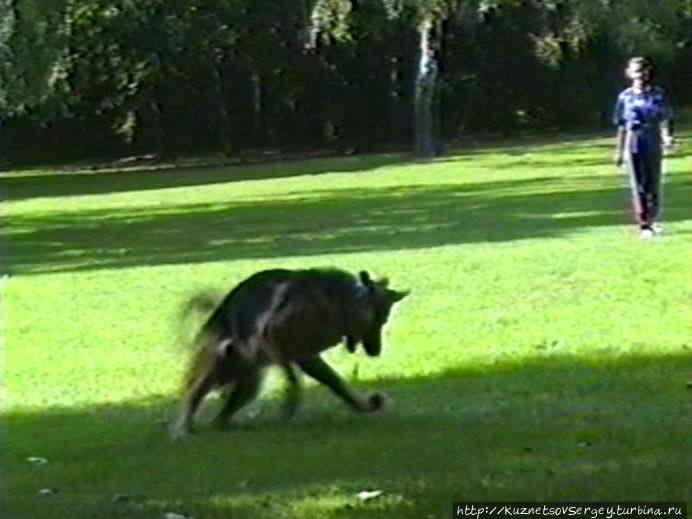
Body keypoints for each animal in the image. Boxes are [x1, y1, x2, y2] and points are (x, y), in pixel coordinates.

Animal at [171, 268, 408, 438]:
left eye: (383, 322)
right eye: (376, 321)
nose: (376, 352)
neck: (338, 304)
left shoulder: (307, 357)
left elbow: (336, 384)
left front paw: (363, 406)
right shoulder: (278, 342)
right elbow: (295, 379)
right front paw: (289, 407)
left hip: (247, 382)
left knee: (220, 415)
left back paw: (226, 425)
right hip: (220, 368)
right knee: (194, 394)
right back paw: (183, 429)